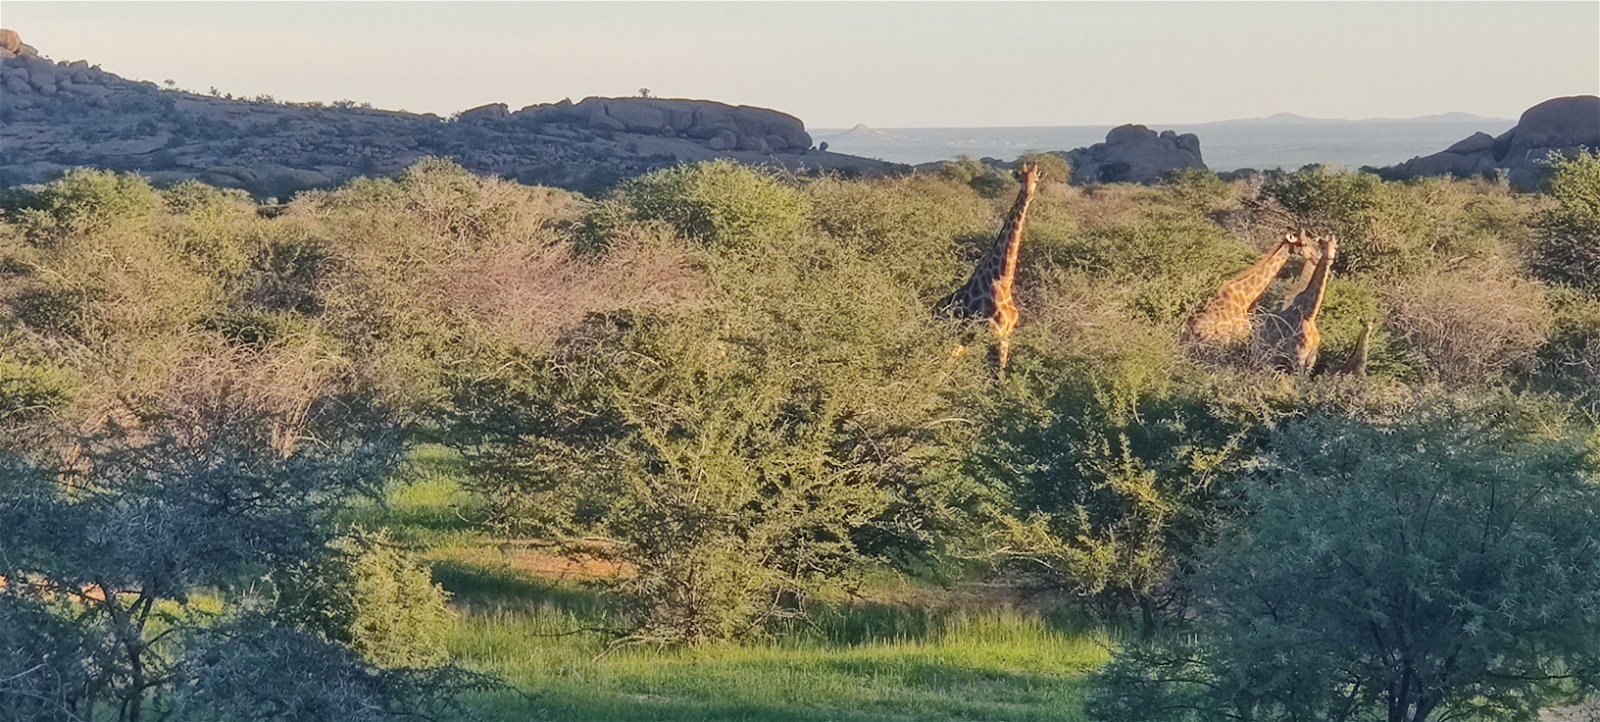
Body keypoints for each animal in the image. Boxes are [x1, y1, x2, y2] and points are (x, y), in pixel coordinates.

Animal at [937, 162, 1042, 371]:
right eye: (1020, 179)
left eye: (1035, 180)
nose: (1028, 194)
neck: (1003, 279)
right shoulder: (993, 335)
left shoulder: (1006, 336)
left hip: (960, 343)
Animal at [1259, 232, 1339, 374]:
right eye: (1323, 246)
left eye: (1336, 247)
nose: (1330, 258)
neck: (1309, 316)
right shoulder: (1298, 358)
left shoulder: (1311, 359)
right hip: (1266, 352)